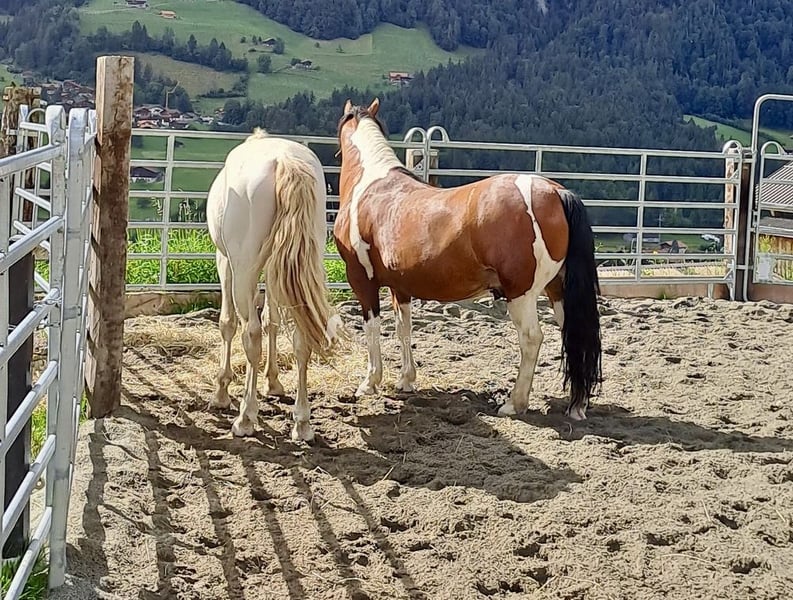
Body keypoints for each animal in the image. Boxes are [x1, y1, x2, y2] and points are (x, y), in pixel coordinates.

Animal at [207, 129, 344, 441]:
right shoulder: (275, 269)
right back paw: (302, 423)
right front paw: (273, 383)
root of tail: (284, 161)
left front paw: (222, 391)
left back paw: (245, 418)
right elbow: (273, 321)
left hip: (243, 269)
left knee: (251, 334)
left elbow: (228, 323)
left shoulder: (225, 262)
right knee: (301, 338)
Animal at [333, 99, 602, 419]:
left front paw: (370, 382)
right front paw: (406, 380)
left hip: (521, 294)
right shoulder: (400, 287)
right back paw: (578, 404)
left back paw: (514, 403)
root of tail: (555, 192)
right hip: (557, 290)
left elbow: (372, 327)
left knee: (531, 338)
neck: (371, 184)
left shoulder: (362, 279)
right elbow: (403, 328)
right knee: (574, 334)